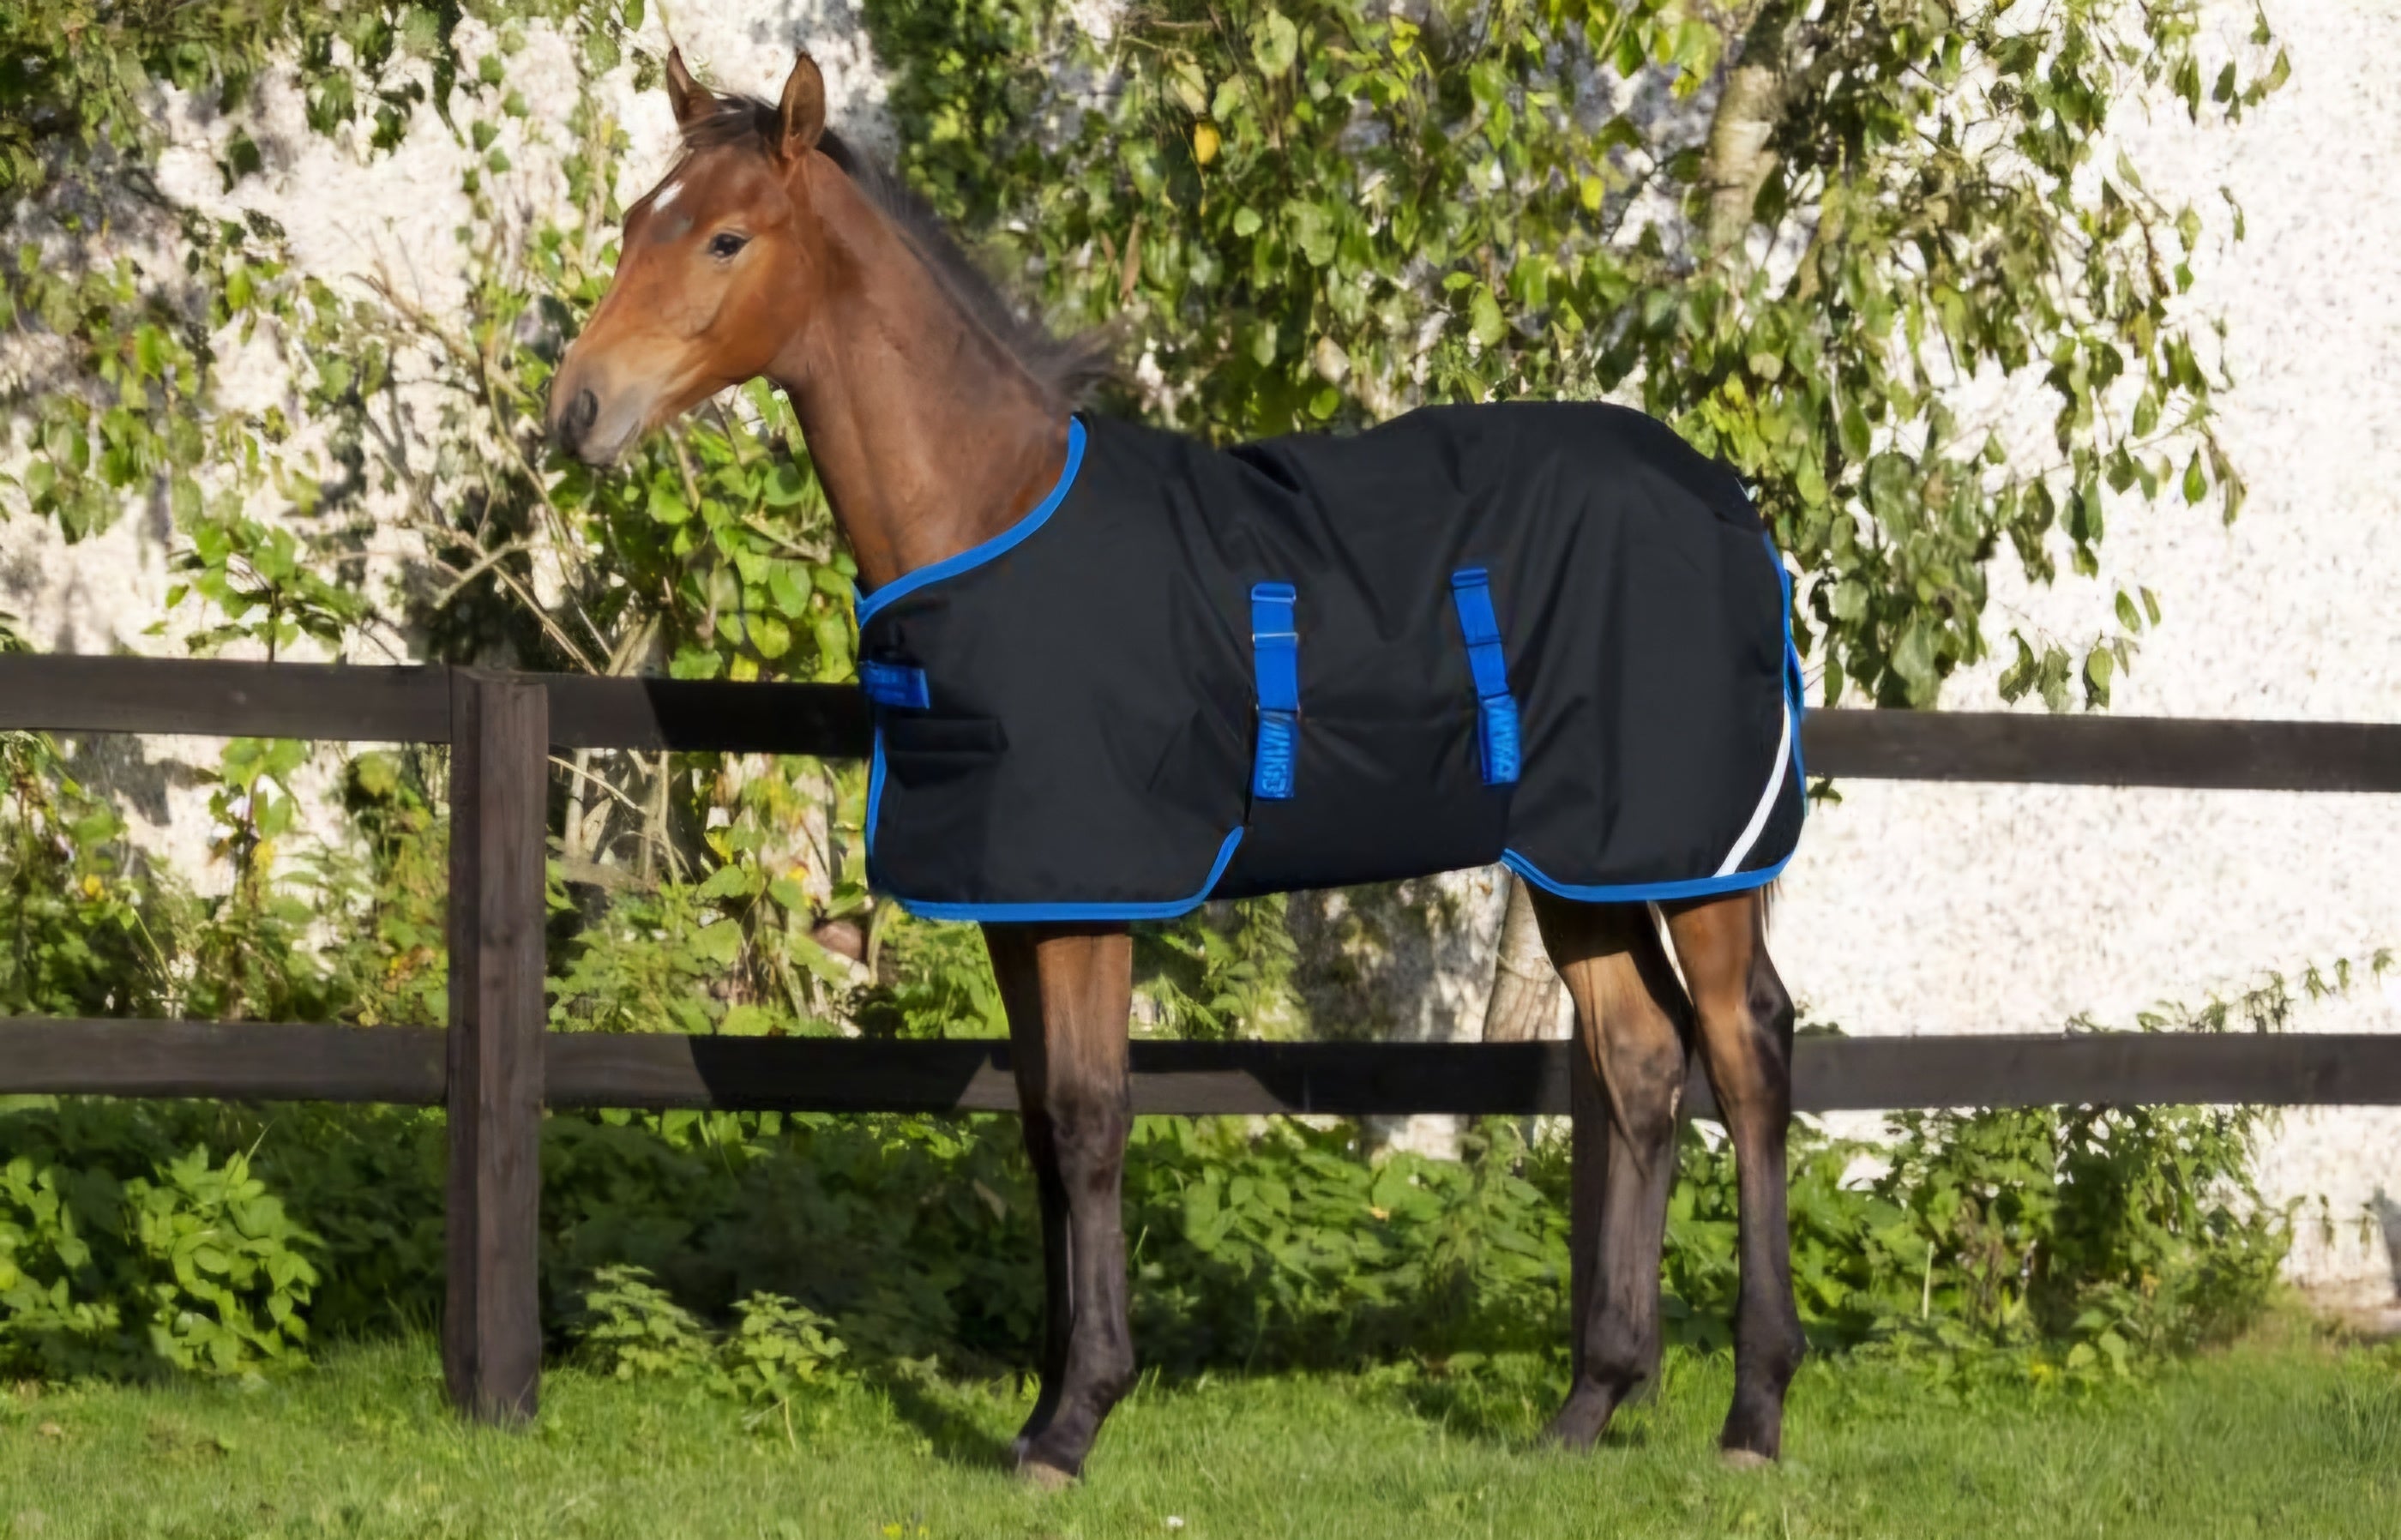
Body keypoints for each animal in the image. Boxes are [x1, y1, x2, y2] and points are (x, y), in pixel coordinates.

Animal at [547, 50, 1805, 1486]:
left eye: (726, 238)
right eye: (636, 221)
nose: (577, 409)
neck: (990, 511)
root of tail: (1725, 499)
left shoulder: (1095, 900)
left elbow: (1094, 1119)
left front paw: (1078, 1418)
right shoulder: (1020, 905)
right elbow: (1041, 1129)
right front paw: (1043, 1404)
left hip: (1696, 857)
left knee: (1747, 1053)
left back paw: (1753, 1412)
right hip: (1581, 864)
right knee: (1642, 1065)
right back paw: (1589, 1405)